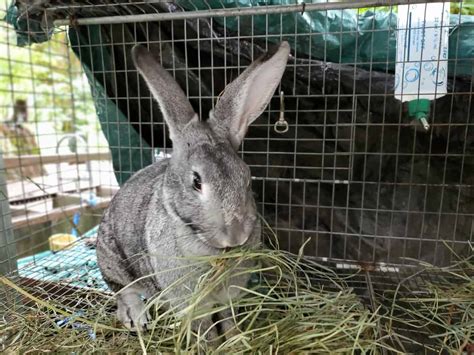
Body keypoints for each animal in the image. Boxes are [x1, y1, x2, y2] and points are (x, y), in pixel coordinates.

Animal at [96, 40, 288, 340]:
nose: (235, 236)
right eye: (196, 181)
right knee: (124, 293)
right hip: (112, 259)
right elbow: (204, 328)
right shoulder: (189, 300)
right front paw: (210, 345)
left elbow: (228, 318)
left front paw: (237, 340)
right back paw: (137, 319)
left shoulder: (229, 294)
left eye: (246, 178)